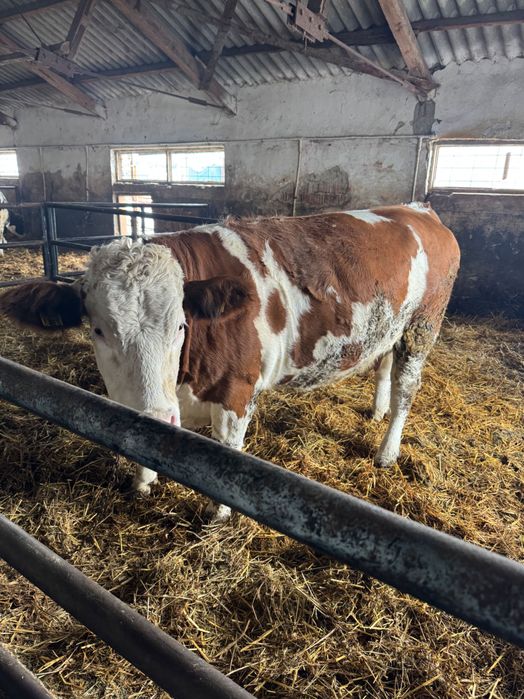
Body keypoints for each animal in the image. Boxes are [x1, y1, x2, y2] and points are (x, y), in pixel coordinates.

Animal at [0, 203, 460, 522]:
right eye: (98, 330)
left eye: (180, 325)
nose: (157, 416)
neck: (182, 381)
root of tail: (416, 210)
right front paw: (143, 484)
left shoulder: (237, 392)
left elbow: (227, 452)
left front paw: (219, 514)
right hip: (391, 327)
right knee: (383, 365)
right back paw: (376, 410)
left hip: (423, 326)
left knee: (406, 389)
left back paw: (387, 452)